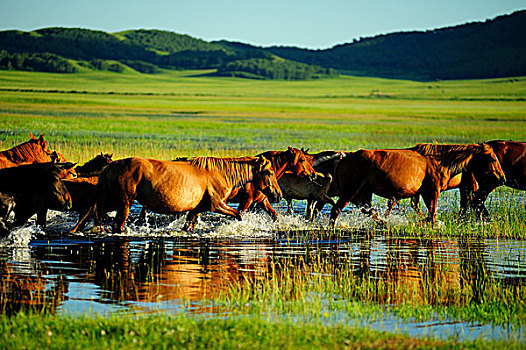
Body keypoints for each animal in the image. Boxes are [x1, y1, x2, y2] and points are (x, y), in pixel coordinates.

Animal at [96, 156, 282, 232]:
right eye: (269, 172)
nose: (278, 195)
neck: (221, 174)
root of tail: (109, 167)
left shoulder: (196, 210)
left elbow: (188, 226)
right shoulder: (217, 205)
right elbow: (239, 215)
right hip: (125, 203)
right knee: (117, 225)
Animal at [330, 143, 508, 227]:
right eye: (492, 158)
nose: (502, 178)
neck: (441, 162)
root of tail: (344, 158)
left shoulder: (422, 193)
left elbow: (425, 212)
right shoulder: (433, 190)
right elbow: (431, 214)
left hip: (363, 193)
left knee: (369, 211)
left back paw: (384, 222)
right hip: (351, 191)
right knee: (336, 209)